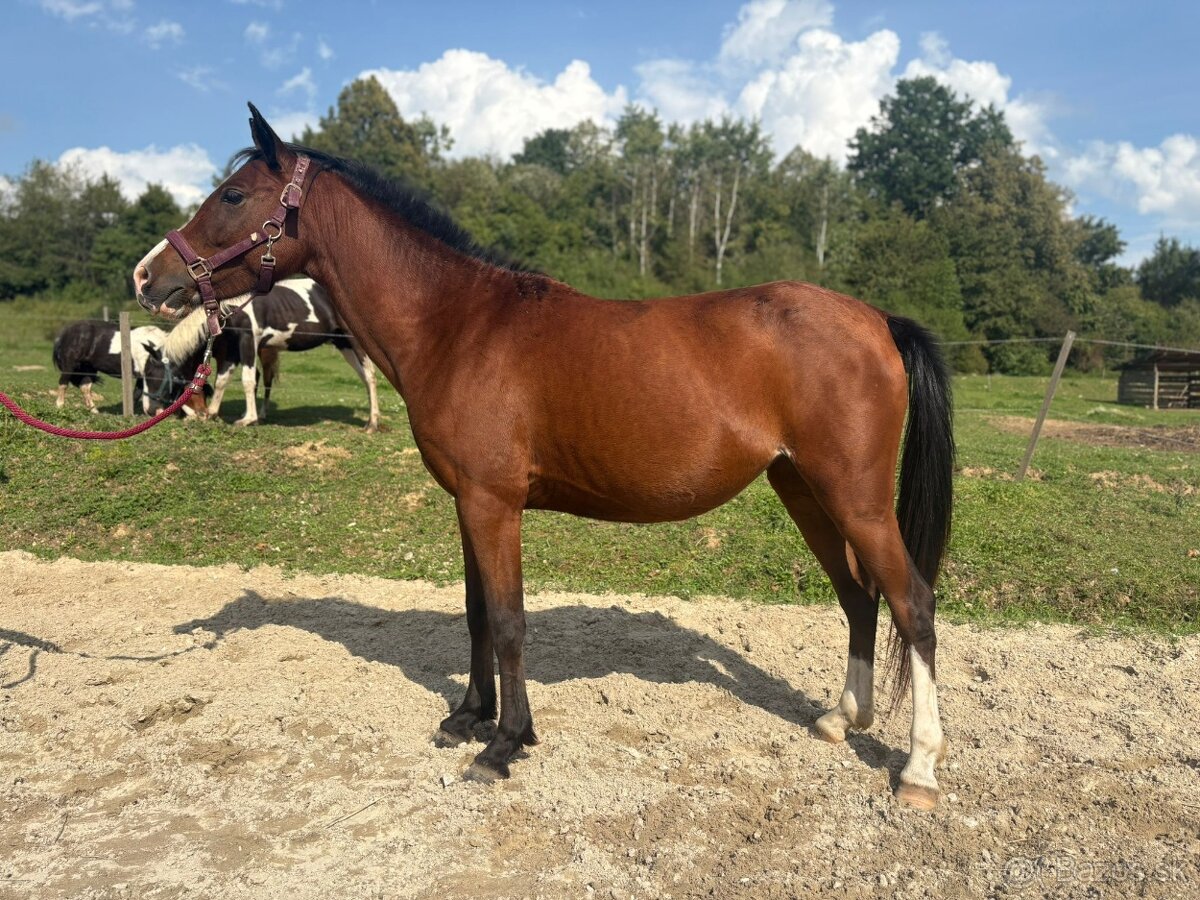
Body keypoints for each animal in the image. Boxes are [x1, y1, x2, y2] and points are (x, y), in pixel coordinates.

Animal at [144, 278, 380, 430]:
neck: (231, 308)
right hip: (342, 343)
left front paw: (249, 419)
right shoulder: (231, 350)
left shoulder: (248, 340)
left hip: (353, 341)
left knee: (369, 375)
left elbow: (248, 380)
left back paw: (374, 423)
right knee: (363, 376)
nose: (148, 410)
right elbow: (222, 380)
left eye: (151, 374)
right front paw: (211, 413)